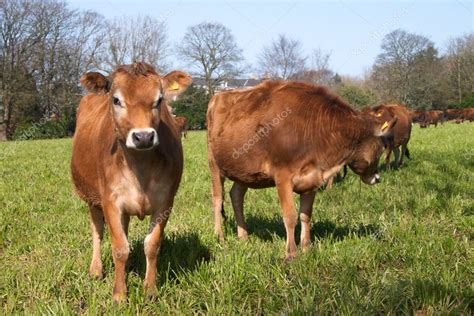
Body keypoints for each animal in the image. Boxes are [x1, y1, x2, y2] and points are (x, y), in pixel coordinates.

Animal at [71, 62, 190, 302]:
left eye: (159, 100)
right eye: (116, 100)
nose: (143, 136)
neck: (140, 167)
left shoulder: (165, 202)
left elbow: (152, 245)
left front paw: (150, 290)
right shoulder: (110, 201)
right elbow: (119, 248)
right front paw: (119, 294)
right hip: (92, 198)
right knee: (97, 231)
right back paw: (96, 269)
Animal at [207, 80, 396, 260]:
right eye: (381, 147)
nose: (377, 178)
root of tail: (218, 95)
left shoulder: (313, 178)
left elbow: (306, 215)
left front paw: (306, 247)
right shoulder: (282, 177)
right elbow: (290, 216)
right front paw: (291, 253)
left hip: (244, 172)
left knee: (236, 196)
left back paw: (243, 236)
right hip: (214, 164)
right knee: (217, 199)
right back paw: (219, 236)